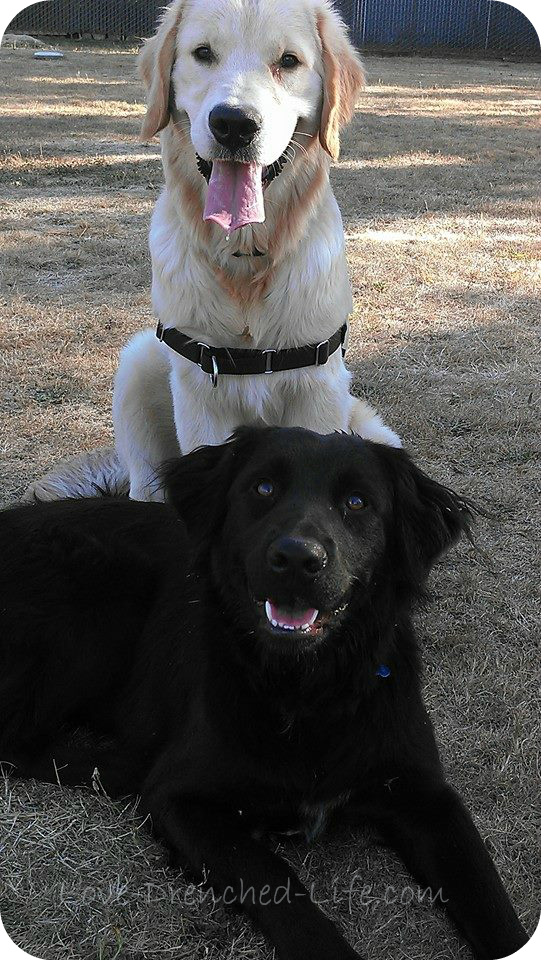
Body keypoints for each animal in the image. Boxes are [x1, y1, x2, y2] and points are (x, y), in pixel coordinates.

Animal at [1, 428, 528, 959]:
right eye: (263, 488)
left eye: (357, 502)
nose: (297, 559)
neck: (307, 689)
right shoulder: (180, 800)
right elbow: (278, 884)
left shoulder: (426, 796)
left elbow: (489, 898)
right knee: (19, 743)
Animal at [25, 0, 400, 504]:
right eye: (203, 53)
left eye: (288, 61)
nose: (234, 124)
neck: (246, 259)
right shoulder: (201, 393)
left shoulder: (319, 390)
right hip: (139, 362)